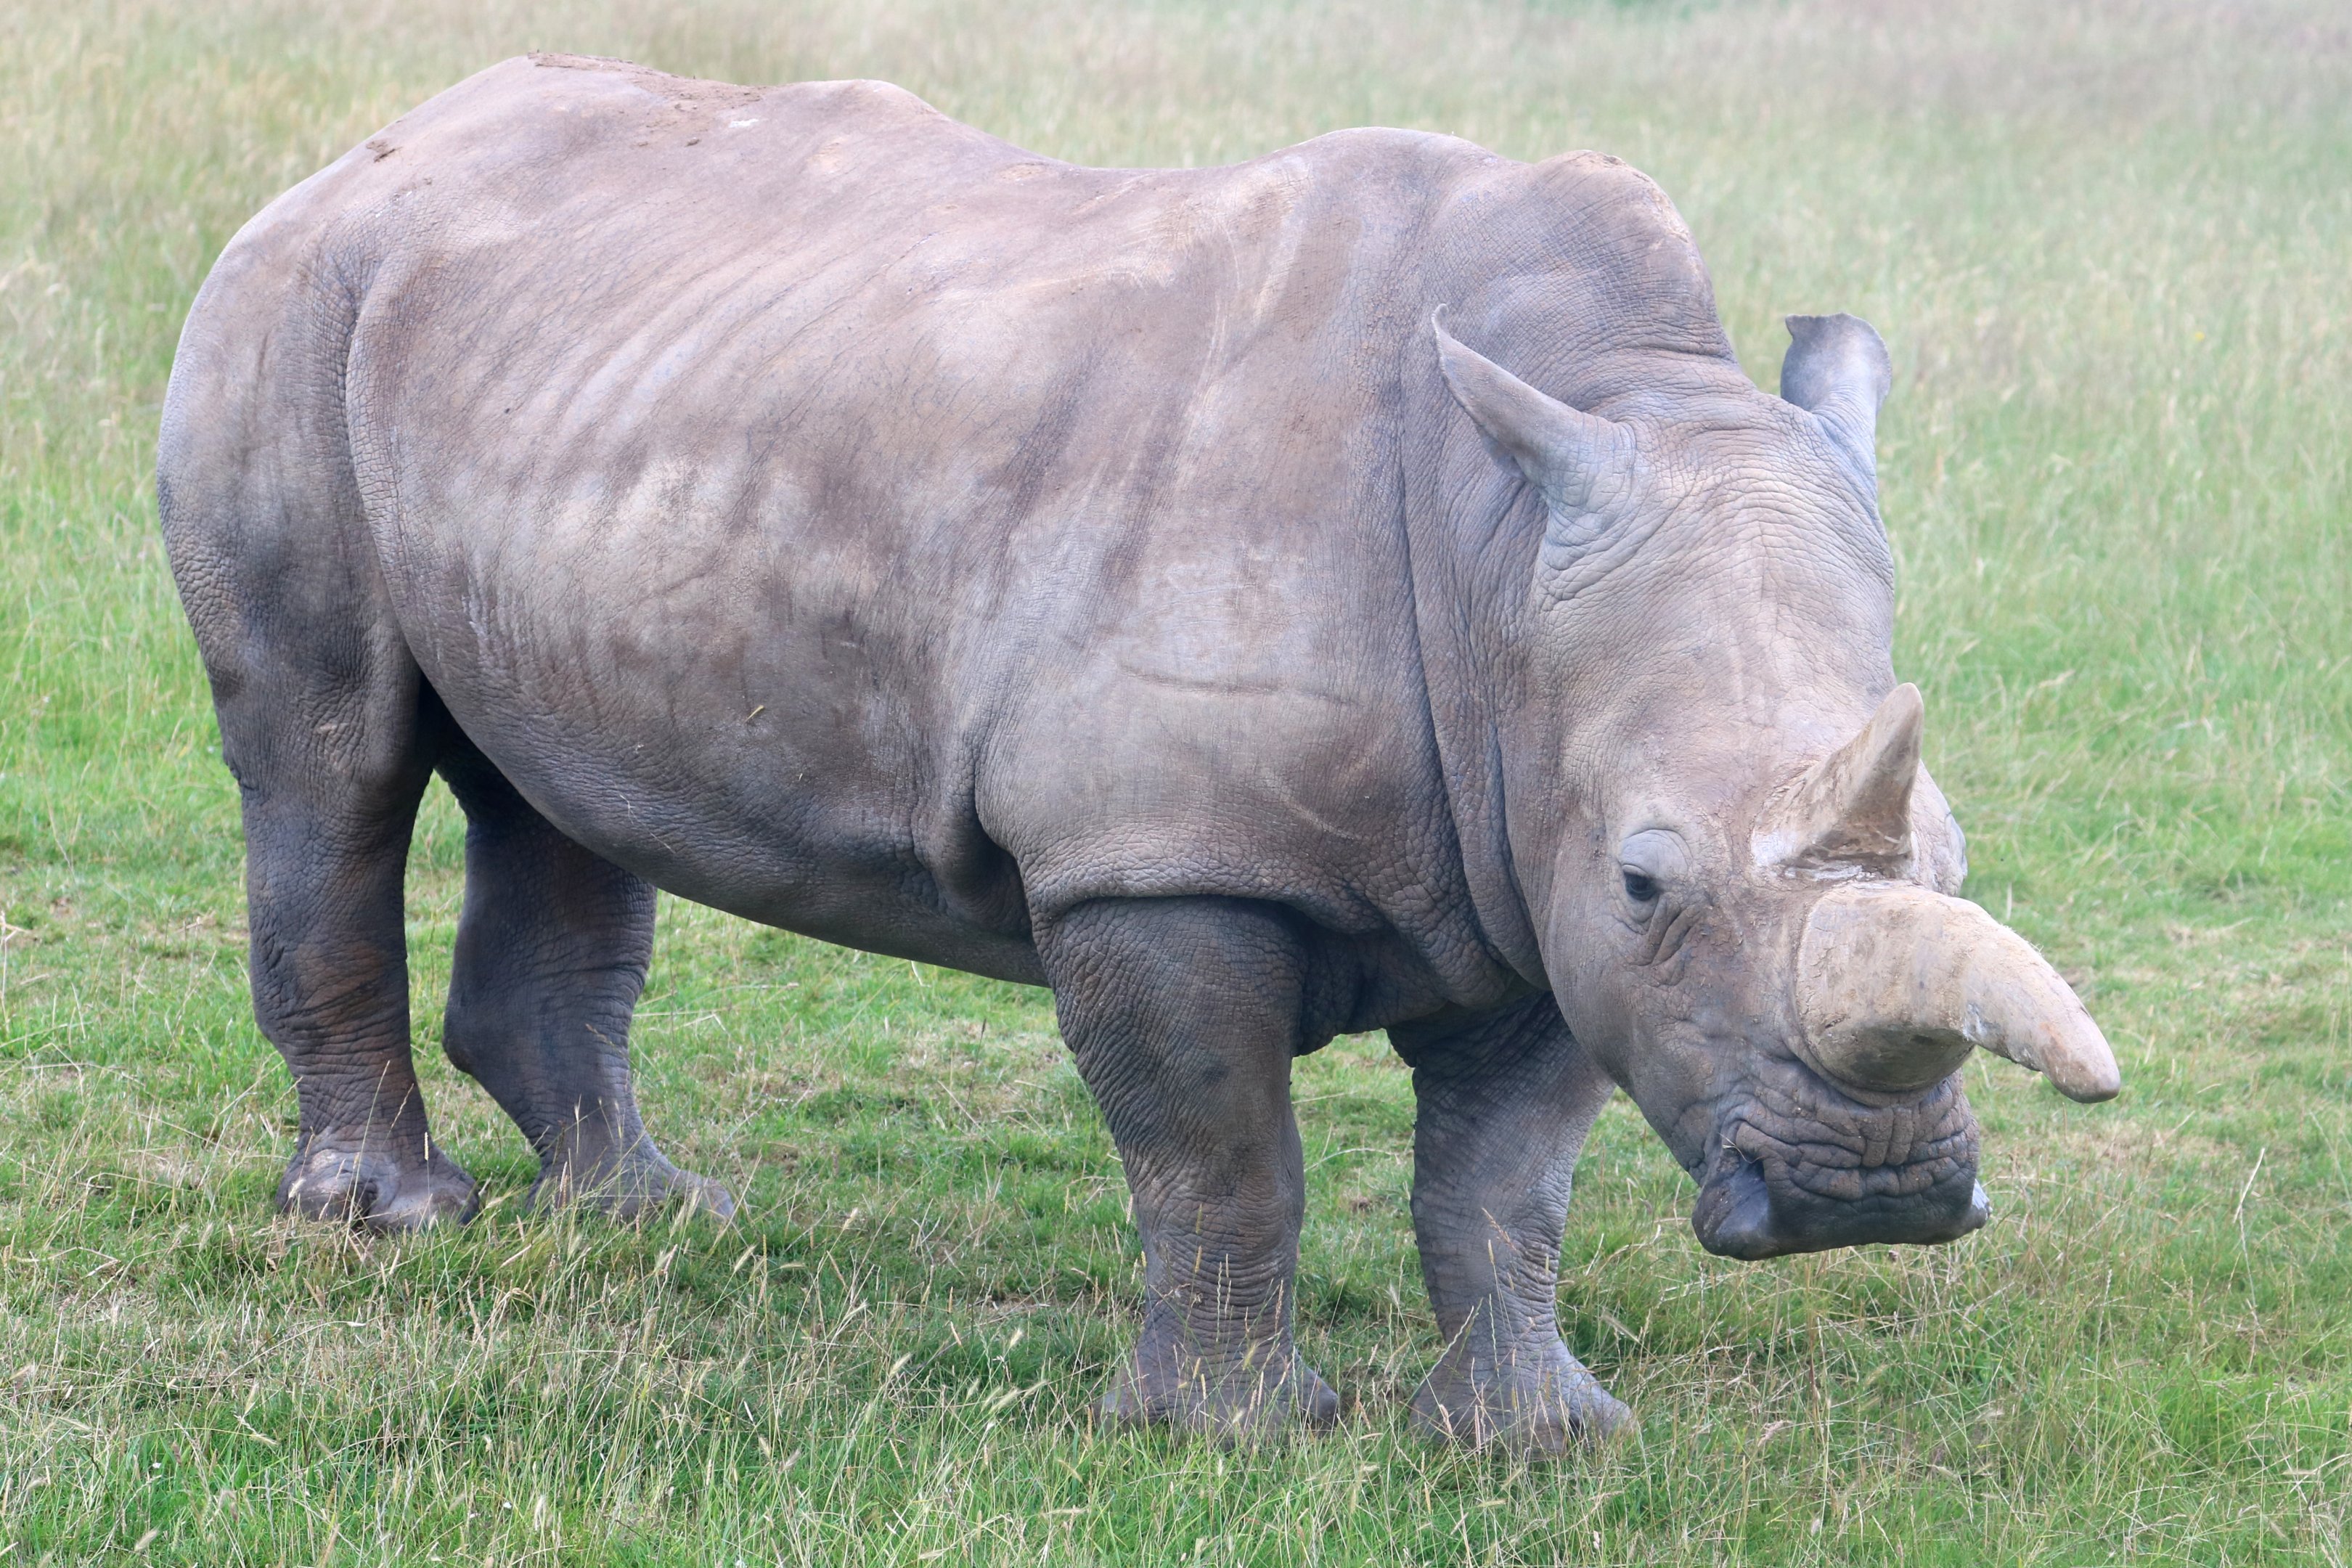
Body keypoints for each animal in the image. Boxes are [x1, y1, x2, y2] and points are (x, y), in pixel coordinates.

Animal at [158, 54, 2119, 1449]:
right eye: (1652, 873)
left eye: (1950, 862)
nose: (1868, 1199)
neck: (1505, 538)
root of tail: (360, 151)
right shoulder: (1162, 857)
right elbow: (1221, 1151)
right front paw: (1235, 1438)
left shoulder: (1523, 860)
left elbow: (1503, 1184)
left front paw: (1538, 1439)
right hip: (288, 308)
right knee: (331, 760)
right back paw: (394, 1220)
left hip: (552, 372)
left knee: (555, 785)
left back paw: (660, 1219)